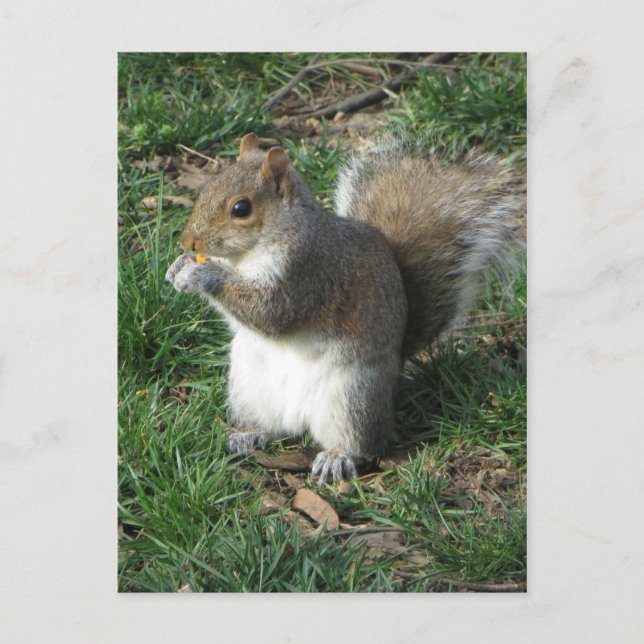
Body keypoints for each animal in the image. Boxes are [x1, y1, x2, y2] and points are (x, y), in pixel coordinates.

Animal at [166, 132, 519, 484]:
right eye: (207, 187)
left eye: (241, 208)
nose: (188, 242)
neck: (249, 254)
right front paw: (178, 266)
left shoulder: (307, 274)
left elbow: (271, 313)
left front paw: (202, 274)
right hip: (249, 385)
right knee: (274, 427)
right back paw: (249, 434)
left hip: (353, 395)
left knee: (366, 445)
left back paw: (337, 458)